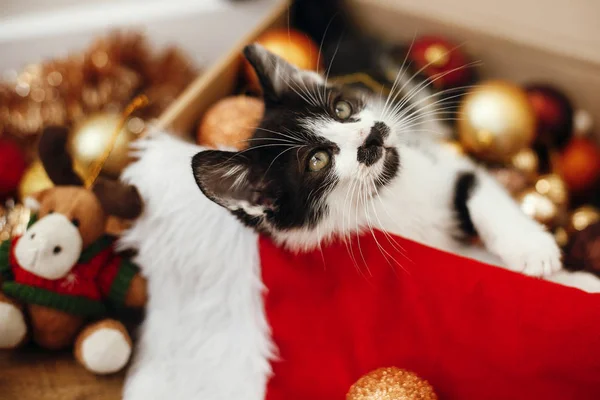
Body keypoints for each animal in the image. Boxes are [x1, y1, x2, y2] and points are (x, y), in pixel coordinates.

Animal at [193, 42, 564, 276]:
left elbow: (479, 188)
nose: (372, 133)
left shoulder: (439, 159)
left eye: (341, 109)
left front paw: (531, 248)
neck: (388, 194)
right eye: (317, 160)